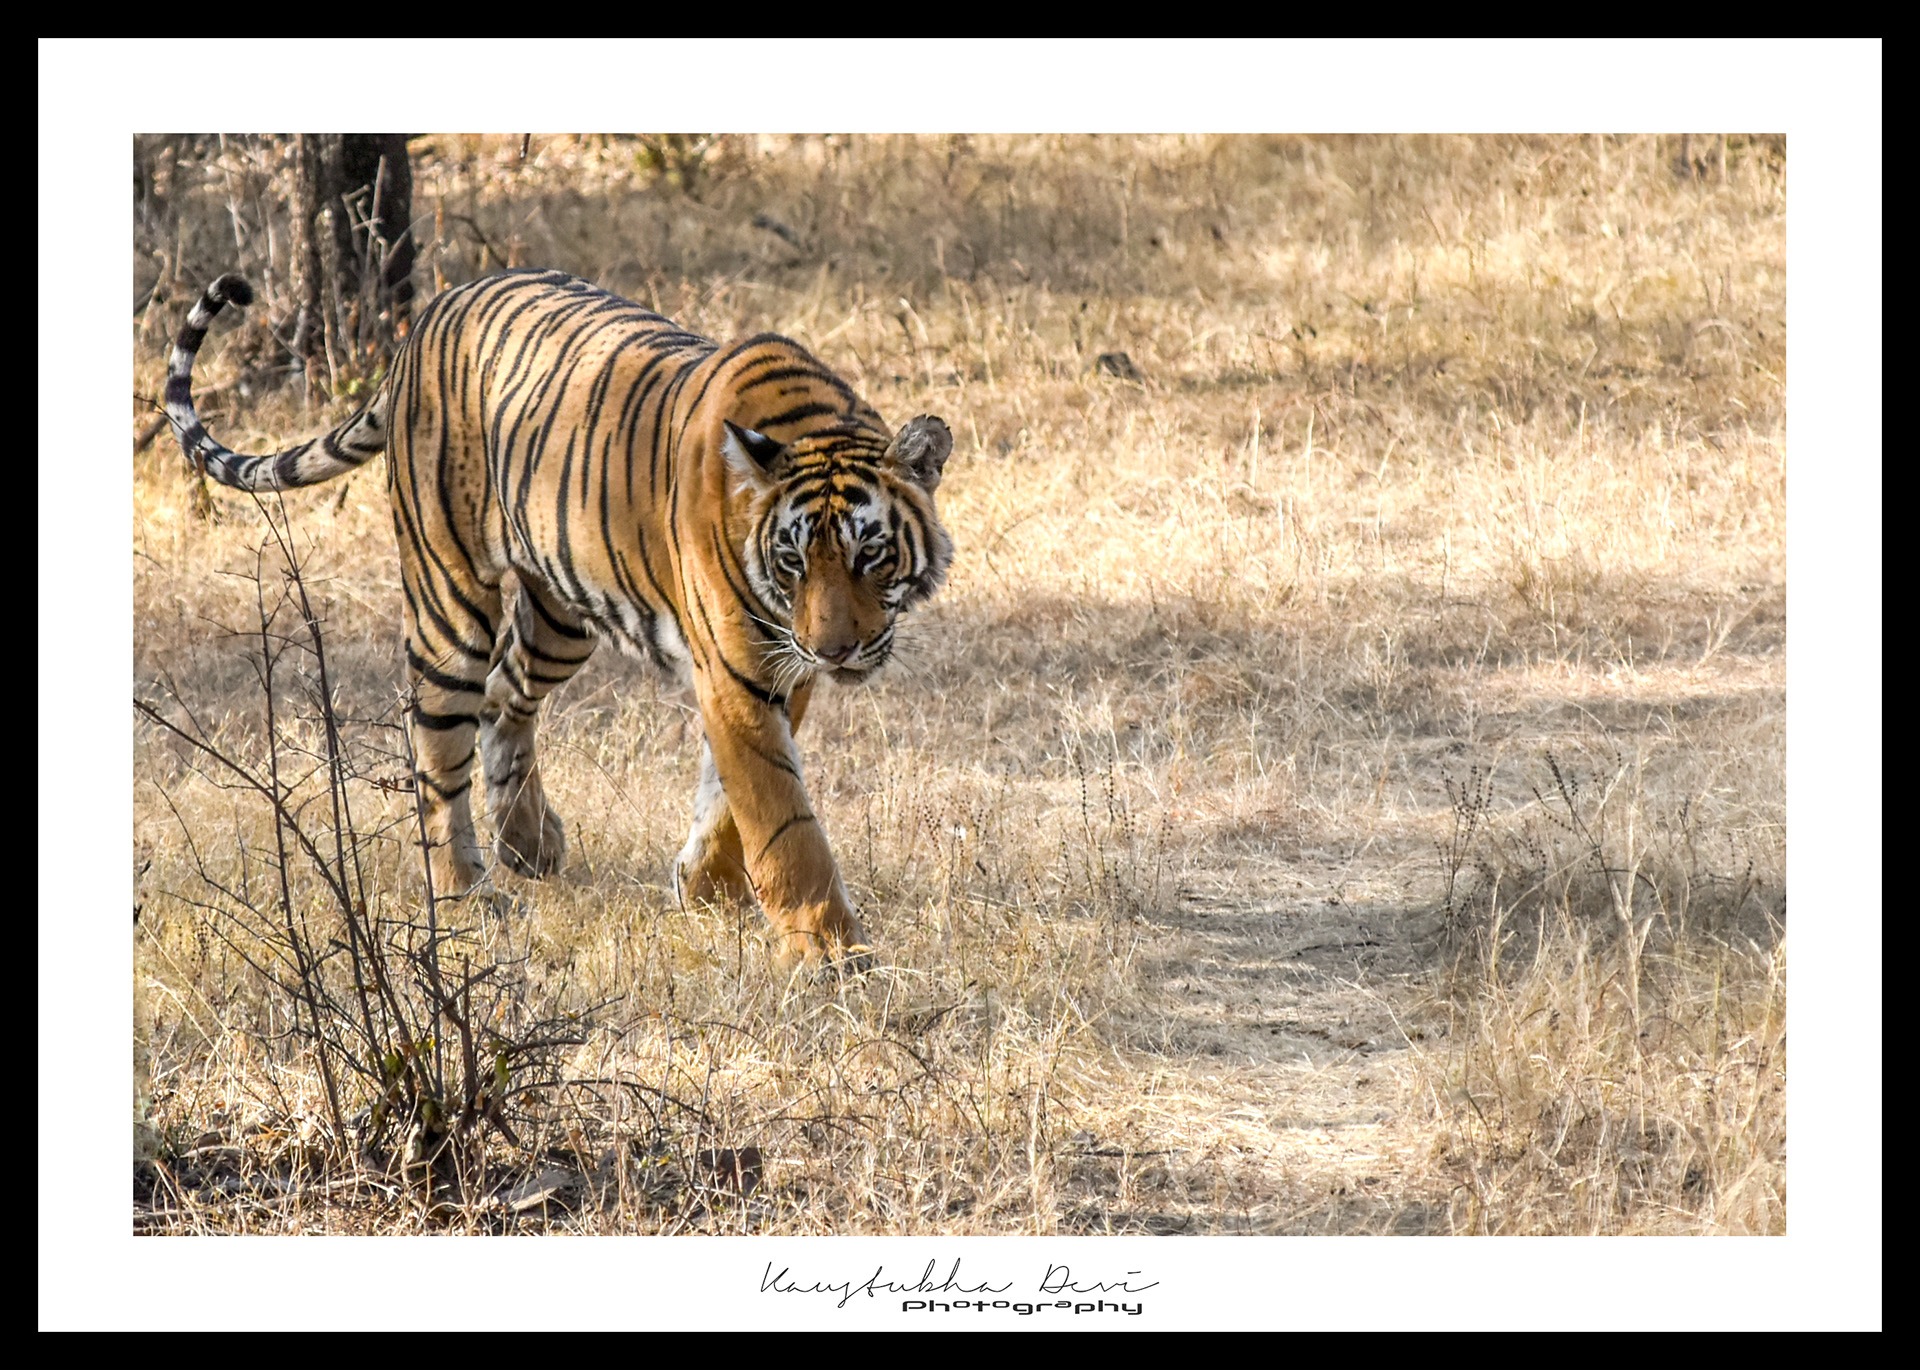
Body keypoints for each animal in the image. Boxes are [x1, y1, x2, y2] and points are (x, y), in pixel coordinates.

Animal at [166, 268, 955, 966]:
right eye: (794, 561)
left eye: (870, 555)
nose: (834, 651)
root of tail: (425, 320)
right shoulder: (743, 669)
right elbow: (780, 814)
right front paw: (830, 950)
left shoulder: (778, 670)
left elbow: (731, 799)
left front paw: (704, 888)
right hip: (450, 599)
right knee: (435, 744)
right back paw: (466, 894)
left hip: (562, 614)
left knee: (503, 696)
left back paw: (529, 842)